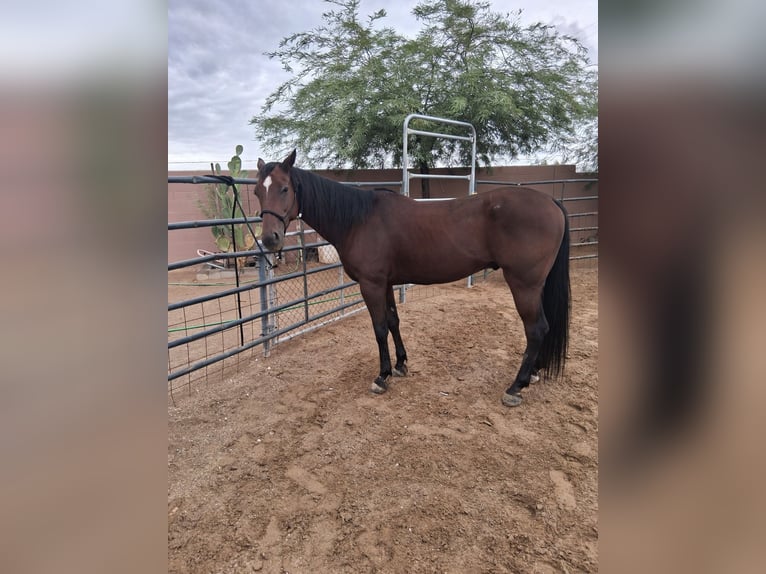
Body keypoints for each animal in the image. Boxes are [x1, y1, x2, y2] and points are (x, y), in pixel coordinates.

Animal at [253, 150, 570, 407]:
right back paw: (534, 373)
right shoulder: (386, 283)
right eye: (257, 192)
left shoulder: (371, 284)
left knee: (536, 329)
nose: (270, 239)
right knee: (543, 327)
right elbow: (394, 321)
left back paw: (516, 387)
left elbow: (379, 328)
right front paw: (401, 365)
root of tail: (550, 201)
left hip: (524, 284)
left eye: (284, 188)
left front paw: (382, 377)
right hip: (536, 286)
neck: (358, 220)